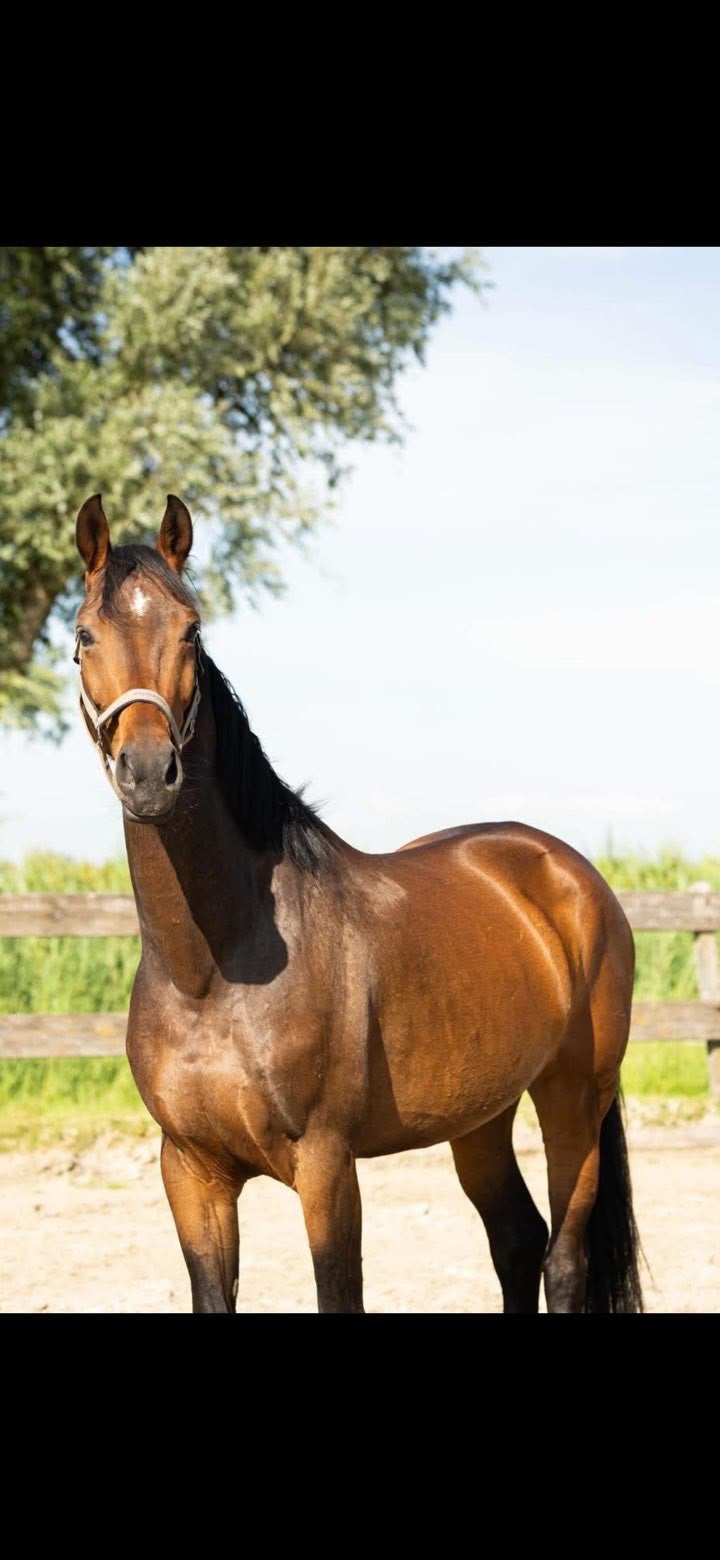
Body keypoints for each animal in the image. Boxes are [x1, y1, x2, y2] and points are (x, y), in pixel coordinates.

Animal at [73, 492, 643, 1314]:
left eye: (192, 629)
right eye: (84, 636)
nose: (149, 772)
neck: (212, 972)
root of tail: (568, 873)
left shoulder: (327, 1167)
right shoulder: (190, 1172)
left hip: (573, 1099)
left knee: (562, 1261)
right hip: (481, 1115)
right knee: (516, 1241)